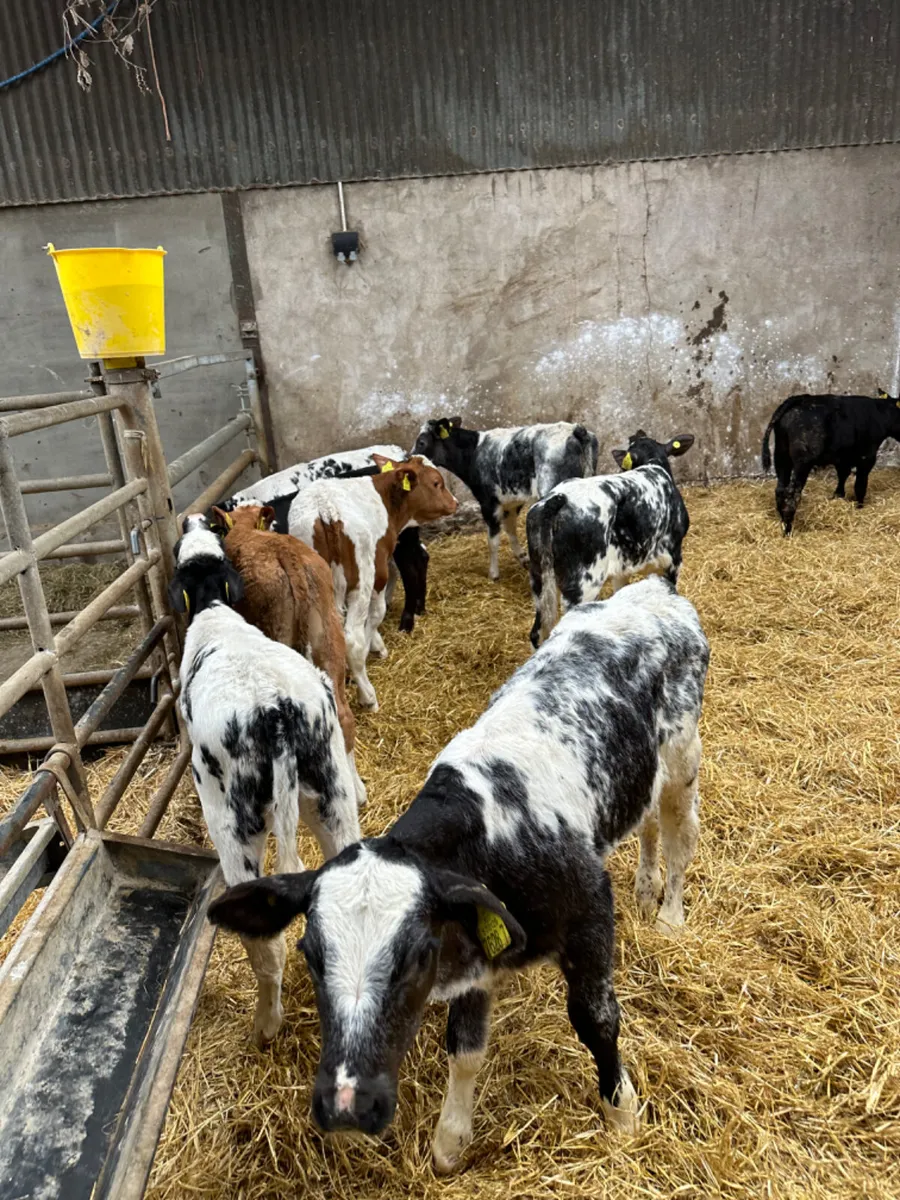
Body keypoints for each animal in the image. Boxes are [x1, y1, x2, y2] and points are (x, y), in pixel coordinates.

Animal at [208, 575, 709, 1170]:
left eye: (417, 956)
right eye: (311, 954)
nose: (347, 1106)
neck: (491, 831)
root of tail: (652, 588)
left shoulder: (589, 908)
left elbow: (596, 1018)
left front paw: (622, 1112)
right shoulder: (478, 931)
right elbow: (465, 1047)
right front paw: (451, 1139)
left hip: (682, 757)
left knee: (680, 834)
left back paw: (671, 911)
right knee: (650, 822)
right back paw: (645, 884)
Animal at [412, 417, 599, 580]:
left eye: (421, 442)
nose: (409, 458)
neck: (473, 452)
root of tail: (575, 429)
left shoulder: (489, 501)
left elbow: (493, 539)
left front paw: (493, 574)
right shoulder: (511, 501)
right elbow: (510, 529)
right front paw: (523, 557)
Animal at [526, 430, 694, 646]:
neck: (652, 464)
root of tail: (557, 499)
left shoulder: (621, 568)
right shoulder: (674, 558)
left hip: (539, 579)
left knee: (536, 633)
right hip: (583, 585)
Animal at [761, 392, 900, 534]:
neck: (880, 412)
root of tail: (800, 399)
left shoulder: (843, 458)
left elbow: (843, 476)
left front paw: (838, 496)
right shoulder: (867, 457)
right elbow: (860, 485)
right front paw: (859, 507)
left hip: (781, 455)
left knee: (780, 489)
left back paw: (782, 521)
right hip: (802, 462)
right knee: (792, 493)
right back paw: (788, 529)